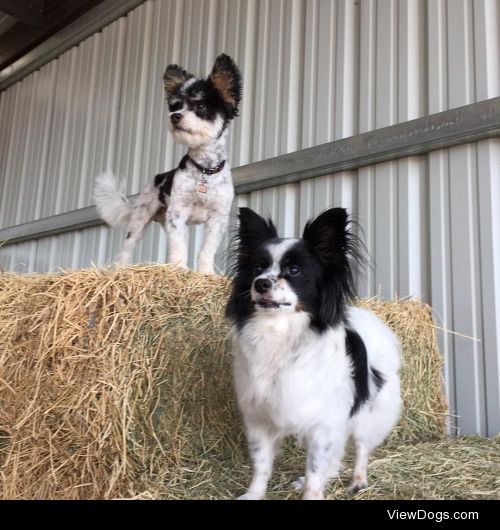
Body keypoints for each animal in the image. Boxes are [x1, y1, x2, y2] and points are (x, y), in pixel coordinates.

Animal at [95, 53, 242, 272]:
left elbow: (206, 251)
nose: (175, 116)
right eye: (176, 106)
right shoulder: (178, 213)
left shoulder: (218, 218)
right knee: (126, 249)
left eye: (201, 106)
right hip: (140, 219)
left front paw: (206, 273)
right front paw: (180, 270)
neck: (204, 170)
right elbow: (179, 248)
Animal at [227, 207, 402, 500]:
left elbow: (315, 469)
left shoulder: (324, 424)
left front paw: (312, 492)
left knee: (361, 449)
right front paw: (254, 494)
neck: (279, 332)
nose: (260, 283)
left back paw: (358, 481)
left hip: (369, 414)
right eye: (257, 268)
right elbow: (261, 465)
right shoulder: (259, 419)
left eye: (294, 270)